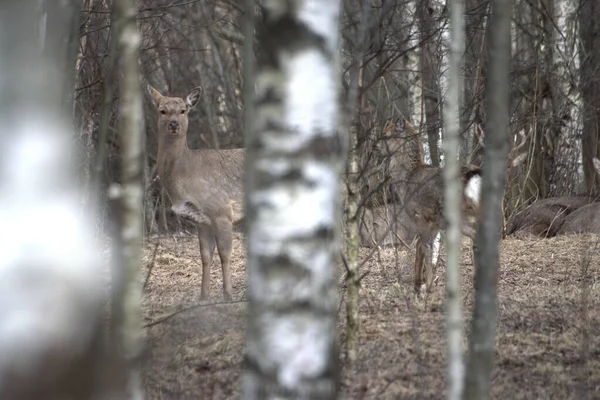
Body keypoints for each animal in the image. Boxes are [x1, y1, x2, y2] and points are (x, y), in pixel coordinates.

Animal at [148, 86, 244, 302]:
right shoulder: (201, 221)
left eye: (183, 110)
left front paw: (228, 295)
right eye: (162, 110)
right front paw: (203, 296)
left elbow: (225, 254)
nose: (173, 124)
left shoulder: (222, 211)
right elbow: (205, 256)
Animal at [380, 120, 482, 296]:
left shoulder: (419, 215)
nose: (376, 145)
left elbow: (423, 248)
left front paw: (422, 286)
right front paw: (426, 284)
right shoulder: (435, 222)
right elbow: (432, 252)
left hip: (462, 215)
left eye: (387, 134)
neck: (406, 183)